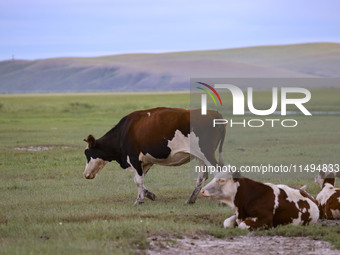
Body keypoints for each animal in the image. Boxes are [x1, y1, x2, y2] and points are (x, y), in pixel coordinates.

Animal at [82, 106, 226, 204]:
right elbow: (140, 180)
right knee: (202, 177)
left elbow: (138, 180)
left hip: (207, 153)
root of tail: (213, 113)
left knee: (219, 173)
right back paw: (190, 199)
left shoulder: (134, 158)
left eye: (87, 153)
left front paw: (139, 200)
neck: (123, 132)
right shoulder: (146, 162)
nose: (85, 174)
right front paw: (149, 195)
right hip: (201, 157)